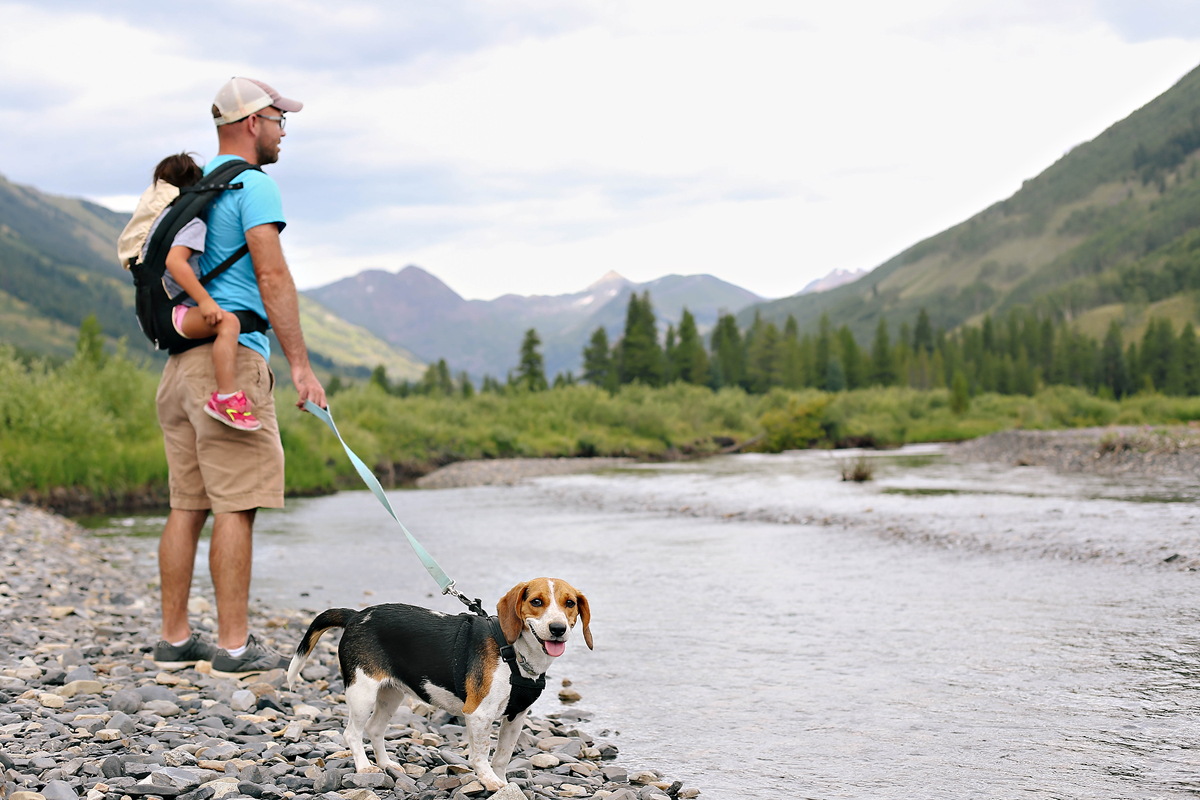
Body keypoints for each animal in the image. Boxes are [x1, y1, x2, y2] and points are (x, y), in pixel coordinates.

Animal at [286, 578, 595, 791]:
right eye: (536, 602)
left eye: (570, 604)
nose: (558, 629)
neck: (515, 652)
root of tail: (355, 615)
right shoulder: (479, 714)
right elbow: (481, 754)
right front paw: (489, 781)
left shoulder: (516, 717)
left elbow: (502, 756)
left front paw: (502, 782)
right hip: (362, 693)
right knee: (352, 733)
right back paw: (364, 768)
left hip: (391, 695)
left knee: (374, 729)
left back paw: (386, 765)